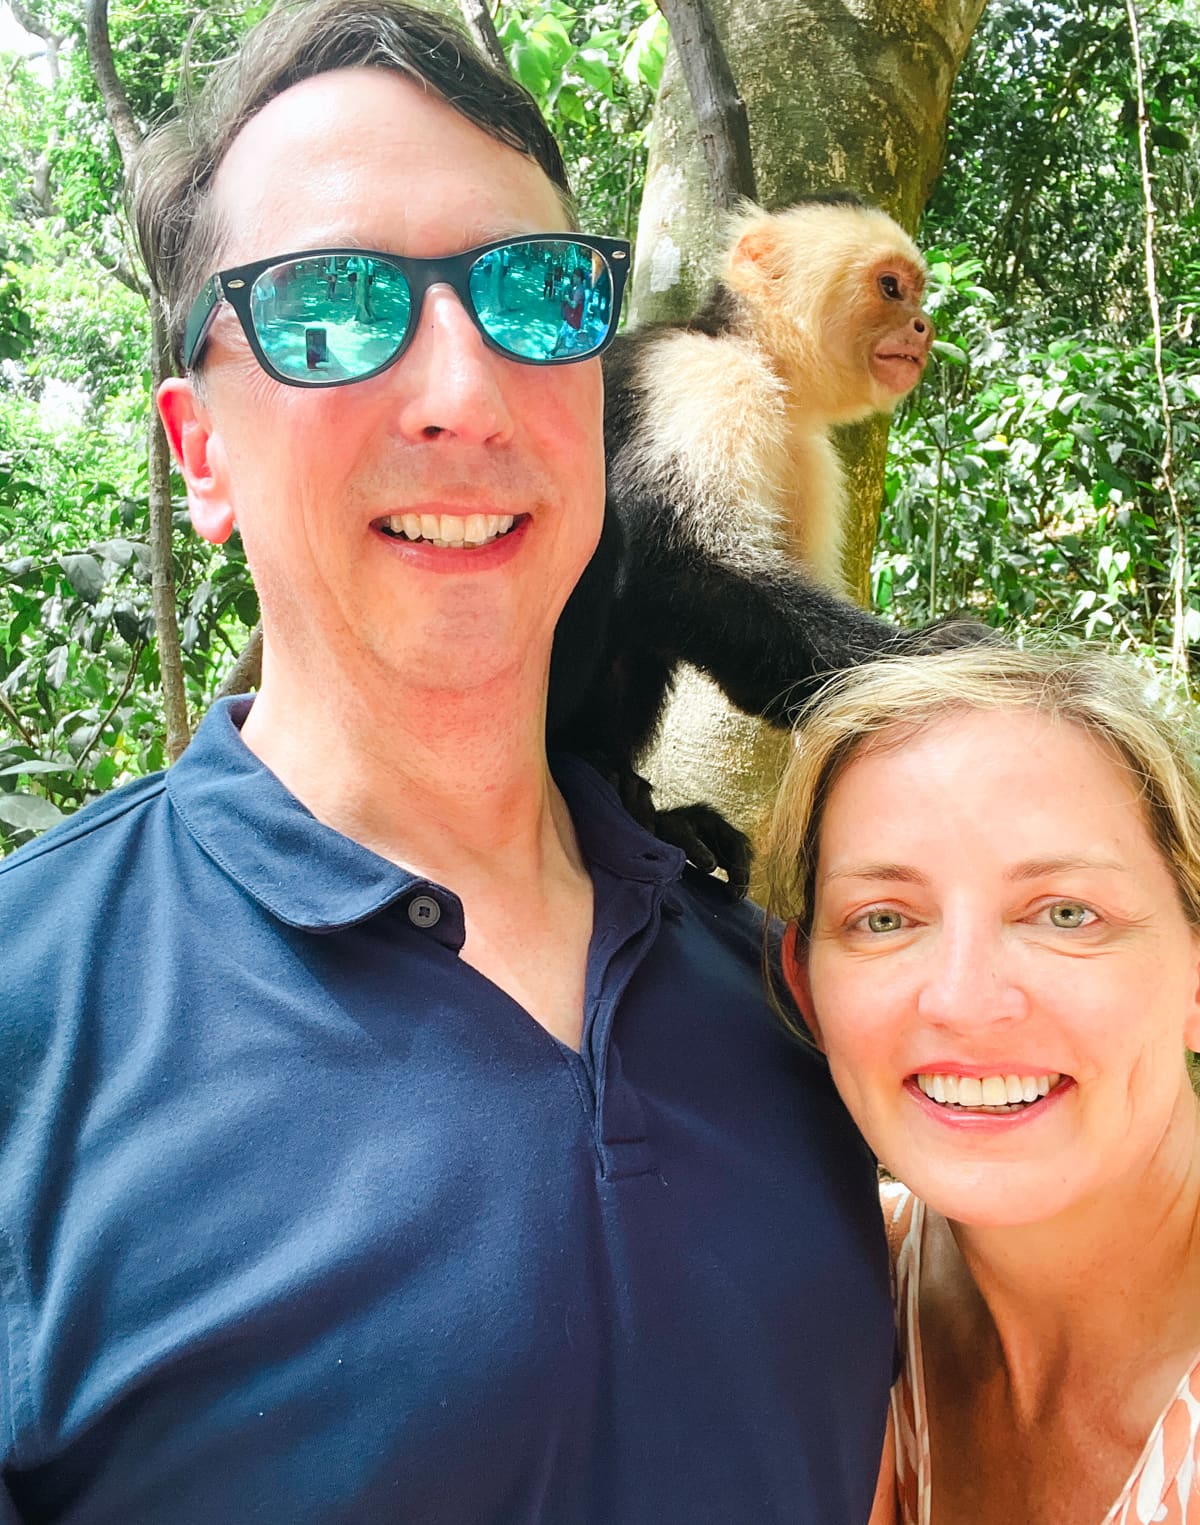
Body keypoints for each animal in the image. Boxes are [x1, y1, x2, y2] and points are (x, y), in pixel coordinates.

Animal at [548, 190, 981, 890]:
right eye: (891, 288)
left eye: (915, 295)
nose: (924, 327)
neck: (759, 358)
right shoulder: (705, 377)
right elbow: (673, 561)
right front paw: (917, 652)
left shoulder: (810, 453)